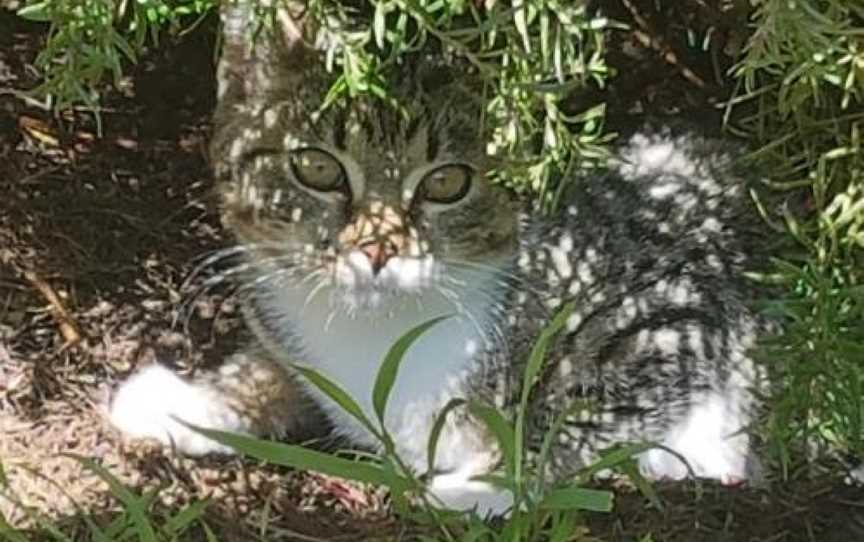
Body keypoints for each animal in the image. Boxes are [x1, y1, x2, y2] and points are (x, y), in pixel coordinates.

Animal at [109, 3, 768, 516]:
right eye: (316, 167)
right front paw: (190, 400)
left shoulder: (672, 303)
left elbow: (577, 404)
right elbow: (277, 366)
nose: (376, 247)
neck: (383, 328)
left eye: (447, 182)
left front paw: (486, 482)